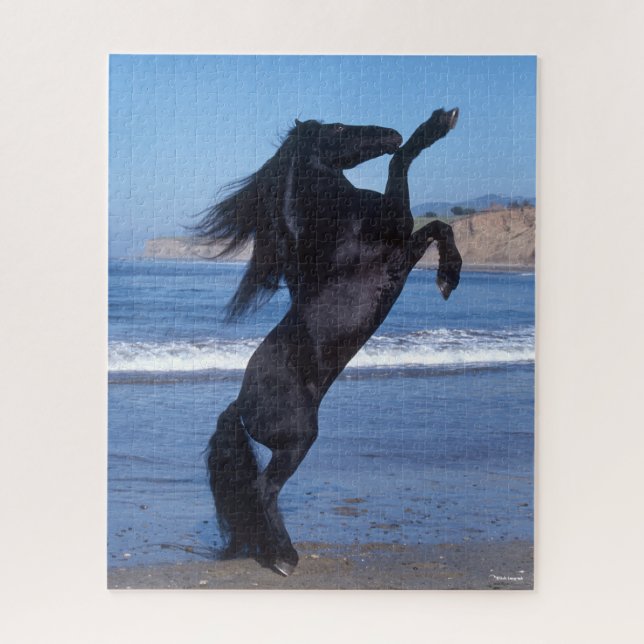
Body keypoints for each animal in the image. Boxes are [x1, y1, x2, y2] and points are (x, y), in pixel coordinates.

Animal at [194, 108, 463, 576]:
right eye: (337, 129)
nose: (389, 134)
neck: (335, 229)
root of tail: (240, 406)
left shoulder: (403, 248)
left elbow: (439, 225)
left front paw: (451, 275)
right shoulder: (396, 245)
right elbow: (408, 176)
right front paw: (437, 124)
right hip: (299, 439)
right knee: (264, 489)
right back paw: (285, 558)